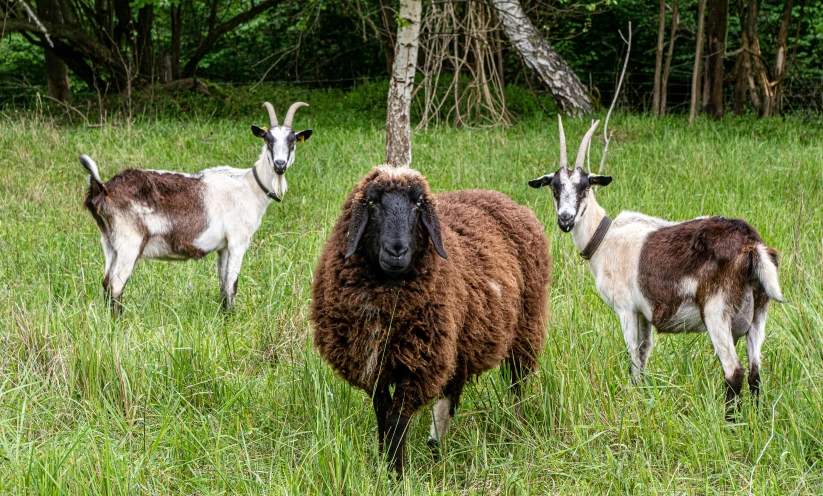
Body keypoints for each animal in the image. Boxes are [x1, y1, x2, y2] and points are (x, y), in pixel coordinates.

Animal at [80, 100, 312, 314]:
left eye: (292, 141)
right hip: (129, 242)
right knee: (115, 286)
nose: (280, 165)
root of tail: (103, 189)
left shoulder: (223, 246)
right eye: (267, 139)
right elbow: (232, 284)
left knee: (106, 283)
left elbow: (223, 285)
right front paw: (232, 319)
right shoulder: (238, 240)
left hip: (109, 243)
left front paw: (224, 316)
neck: (250, 186)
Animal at [310, 165, 552, 474]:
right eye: (373, 202)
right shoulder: (372, 365)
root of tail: (500, 197)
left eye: (417, 204)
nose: (397, 251)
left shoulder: (419, 365)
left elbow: (396, 421)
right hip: (461, 340)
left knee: (517, 381)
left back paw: (514, 428)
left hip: (525, 325)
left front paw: (395, 473)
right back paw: (436, 445)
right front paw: (384, 464)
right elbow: (383, 415)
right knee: (453, 389)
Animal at [528, 117, 784, 418]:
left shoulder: (626, 308)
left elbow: (633, 358)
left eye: (585, 186)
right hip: (759, 311)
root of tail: (751, 244)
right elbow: (643, 355)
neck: (604, 239)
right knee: (755, 372)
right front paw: (640, 400)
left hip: (716, 309)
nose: (565, 219)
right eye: (554, 187)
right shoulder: (644, 313)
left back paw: (730, 422)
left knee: (734, 372)